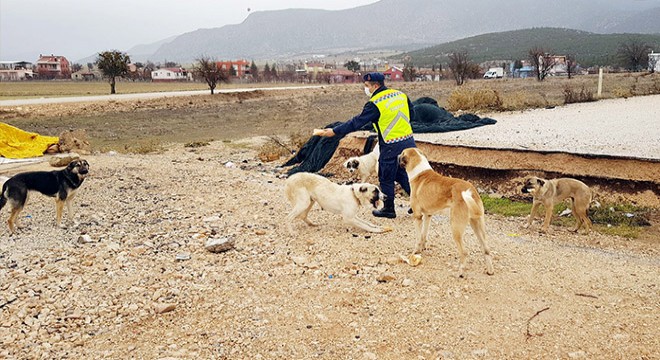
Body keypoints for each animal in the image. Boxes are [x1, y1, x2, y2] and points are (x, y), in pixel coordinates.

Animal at [394, 148, 492, 278]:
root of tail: (470, 191)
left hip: (456, 229)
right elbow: (423, 235)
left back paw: (460, 272)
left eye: (401, 153)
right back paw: (490, 271)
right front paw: (422, 249)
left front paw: (415, 252)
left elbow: (418, 238)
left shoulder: (417, 216)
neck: (420, 172)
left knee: (464, 252)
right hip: (477, 225)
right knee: (486, 248)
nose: (397, 156)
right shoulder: (428, 215)